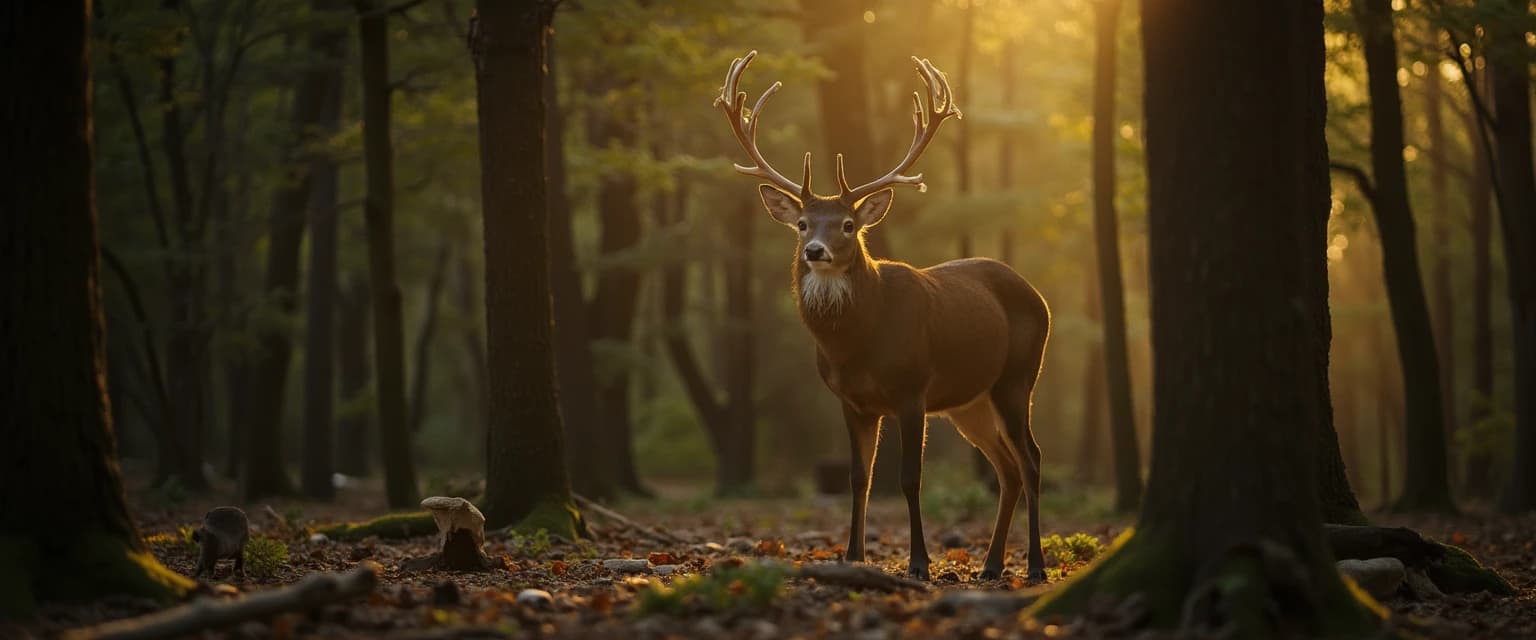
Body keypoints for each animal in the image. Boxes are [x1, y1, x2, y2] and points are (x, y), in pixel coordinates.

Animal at [712, 49, 1050, 577]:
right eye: (803, 223)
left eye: (848, 224)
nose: (814, 251)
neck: (856, 345)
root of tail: (1039, 296)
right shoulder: (851, 400)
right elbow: (859, 477)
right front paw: (853, 554)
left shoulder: (912, 389)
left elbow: (909, 478)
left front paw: (919, 562)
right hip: (970, 401)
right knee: (1008, 468)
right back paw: (992, 565)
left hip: (1018, 376)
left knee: (1032, 460)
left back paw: (1034, 564)